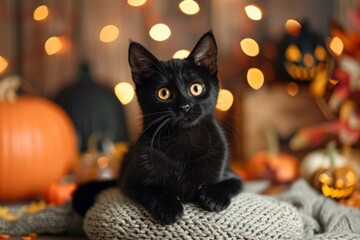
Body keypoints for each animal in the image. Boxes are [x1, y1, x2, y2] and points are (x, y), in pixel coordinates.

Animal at [72, 31, 243, 224]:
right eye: (164, 93)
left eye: (196, 88)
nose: (185, 106)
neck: (183, 140)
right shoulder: (130, 182)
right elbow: (153, 190)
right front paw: (169, 207)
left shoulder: (233, 174)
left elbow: (230, 183)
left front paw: (213, 197)